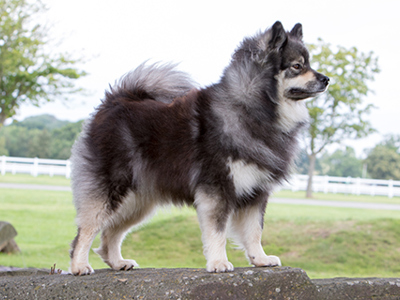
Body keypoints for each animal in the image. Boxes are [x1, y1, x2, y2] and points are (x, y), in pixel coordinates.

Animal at [69, 20, 328, 274]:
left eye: (308, 64)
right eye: (297, 66)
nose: (326, 79)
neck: (250, 108)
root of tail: (114, 101)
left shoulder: (256, 191)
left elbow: (255, 231)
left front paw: (260, 259)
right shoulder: (217, 188)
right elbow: (218, 232)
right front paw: (218, 262)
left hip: (138, 201)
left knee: (109, 234)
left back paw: (118, 262)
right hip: (111, 190)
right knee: (86, 230)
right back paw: (80, 266)